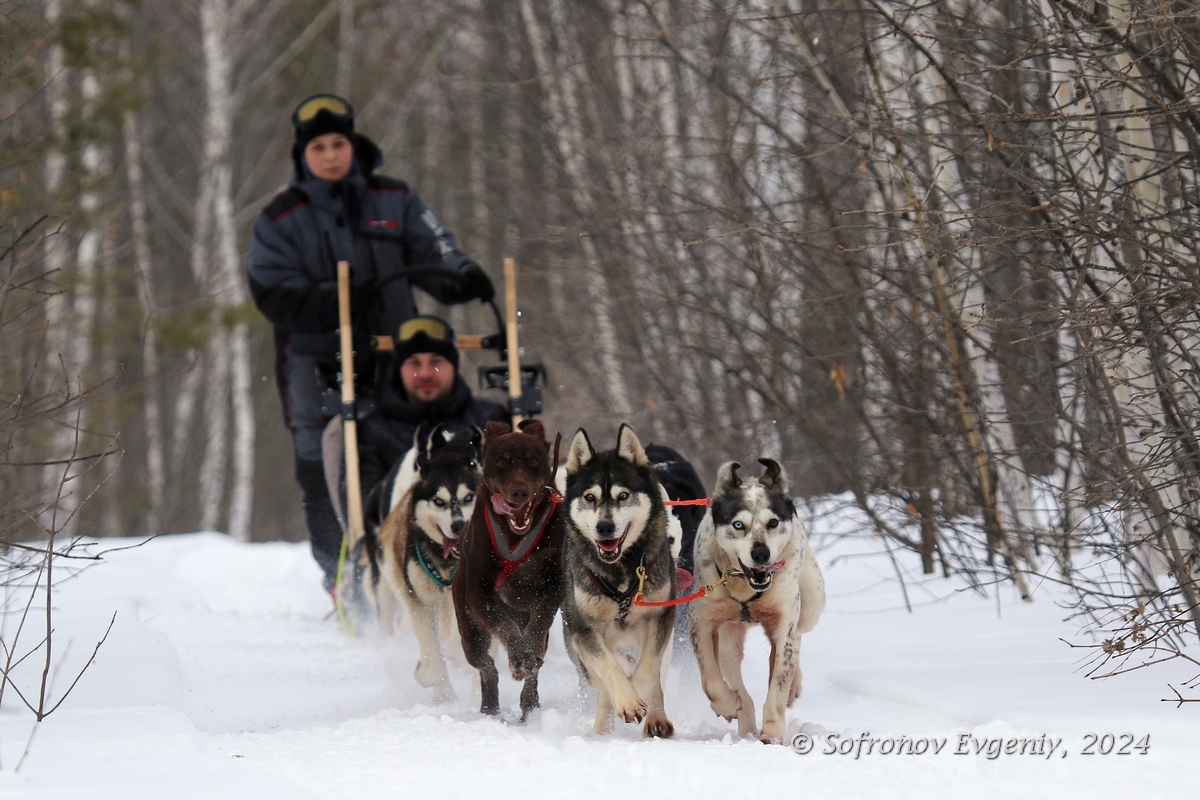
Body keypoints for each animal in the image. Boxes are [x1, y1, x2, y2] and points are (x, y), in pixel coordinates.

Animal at [451, 419, 564, 719]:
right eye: (501, 461)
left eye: (533, 460)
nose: (520, 491)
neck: (514, 535)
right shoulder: (479, 593)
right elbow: (503, 623)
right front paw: (519, 657)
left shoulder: (556, 583)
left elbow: (539, 622)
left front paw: (527, 657)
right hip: (470, 631)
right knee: (486, 665)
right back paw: (490, 706)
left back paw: (530, 704)